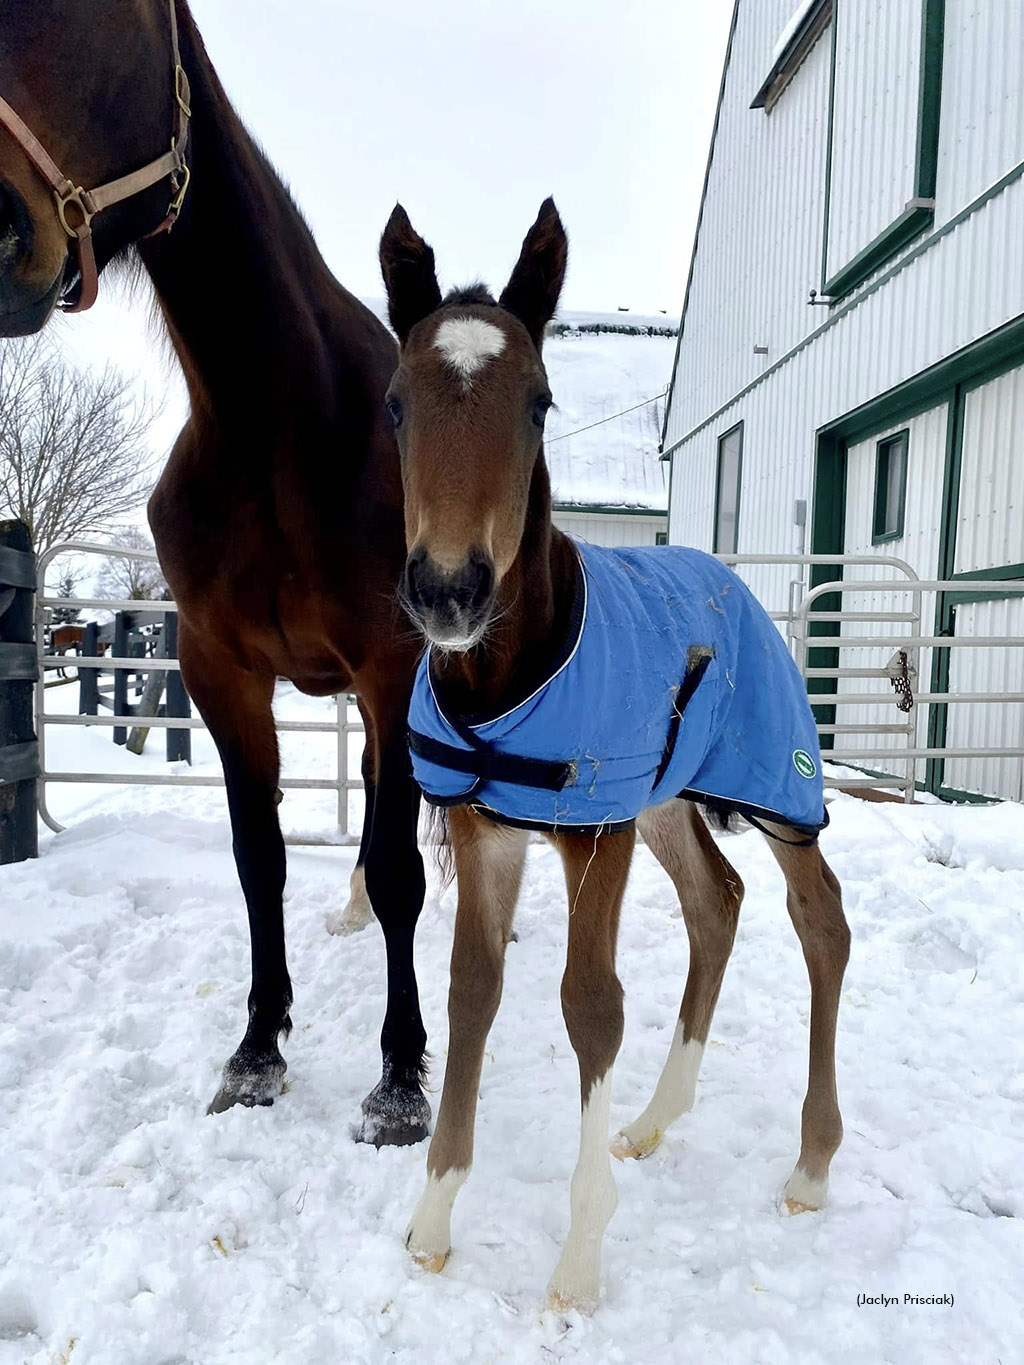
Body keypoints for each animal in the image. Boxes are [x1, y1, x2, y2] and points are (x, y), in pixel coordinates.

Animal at [0, 0, 431, 1141]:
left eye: (112, 16)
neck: (279, 425)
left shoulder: (391, 666)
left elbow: (405, 866)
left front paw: (401, 1078)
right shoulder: (218, 671)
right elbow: (260, 860)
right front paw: (255, 1051)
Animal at [382, 195, 851, 1310]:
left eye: (538, 404)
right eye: (395, 404)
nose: (449, 591)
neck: (501, 677)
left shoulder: (592, 829)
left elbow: (590, 1006)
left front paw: (579, 1260)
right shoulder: (485, 826)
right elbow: (472, 988)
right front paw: (434, 1217)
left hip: (773, 789)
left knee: (819, 918)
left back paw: (811, 1163)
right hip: (666, 801)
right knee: (717, 901)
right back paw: (650, 1119)